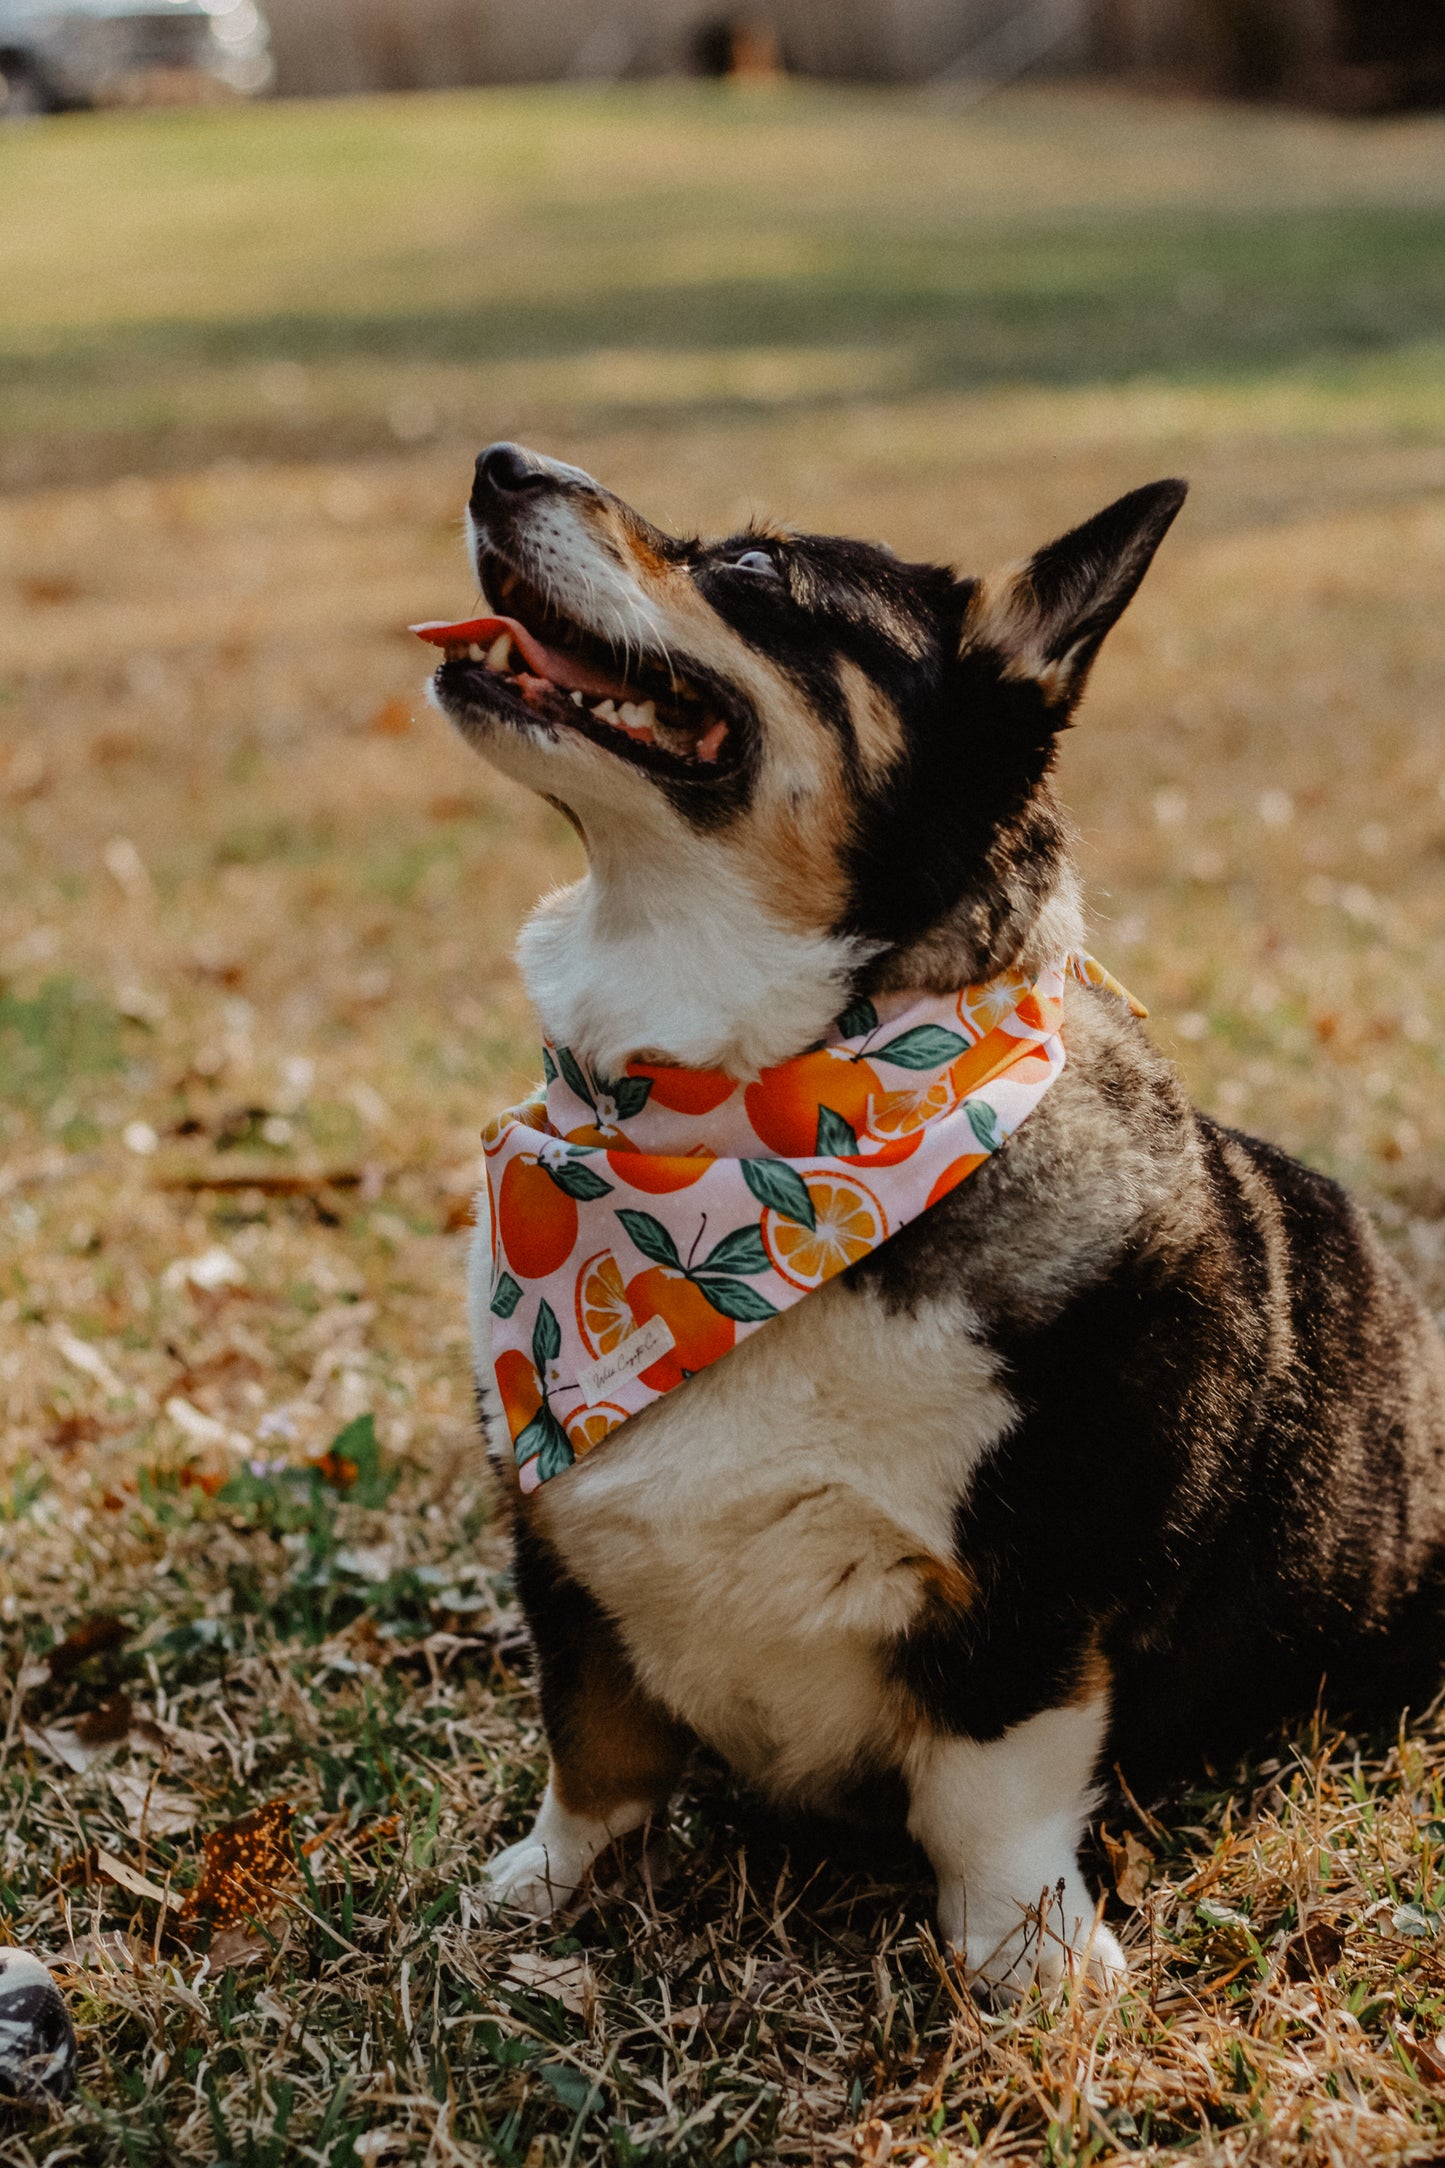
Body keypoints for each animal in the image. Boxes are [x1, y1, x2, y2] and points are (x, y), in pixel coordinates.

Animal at [420, 444, 1445, 1994]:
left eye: (757, 569)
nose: (497, 462)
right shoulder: (561, 1560)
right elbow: (591, 1748)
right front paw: (540, 1889)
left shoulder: (1034, 1595)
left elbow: (987, 1791)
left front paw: (1028, 1964)